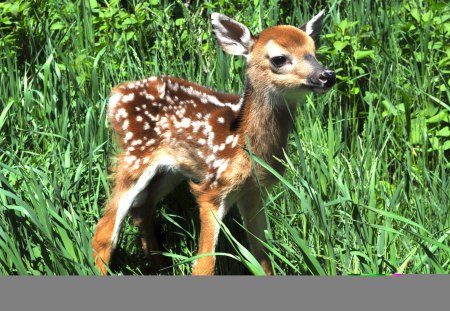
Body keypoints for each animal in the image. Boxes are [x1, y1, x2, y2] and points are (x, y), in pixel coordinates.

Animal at [93, 9, 336, 276]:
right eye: (279, 59)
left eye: (313, 51)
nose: (327, 75)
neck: (245, 145)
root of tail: (116, 95)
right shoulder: (212, 188)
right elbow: (204, 265)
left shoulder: (254, 191)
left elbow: (262, 258)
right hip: (136, 155)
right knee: (104, 230)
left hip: (172, 169)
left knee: (142, 208)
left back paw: (159, 266)